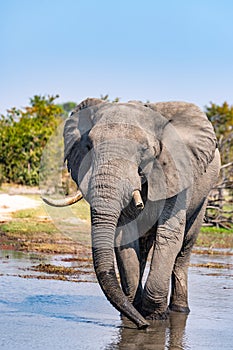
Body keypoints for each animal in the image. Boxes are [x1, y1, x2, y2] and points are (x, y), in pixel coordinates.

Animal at [43, 98, 220, 328]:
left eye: (144, 150)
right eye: (89, 146)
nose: (142, 326)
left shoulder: (178, 172)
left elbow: (169, 235)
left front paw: (154, 317)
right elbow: (125, 235)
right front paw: (135, 314)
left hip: (204, 194)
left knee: (185, 247)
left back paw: (178, 310)